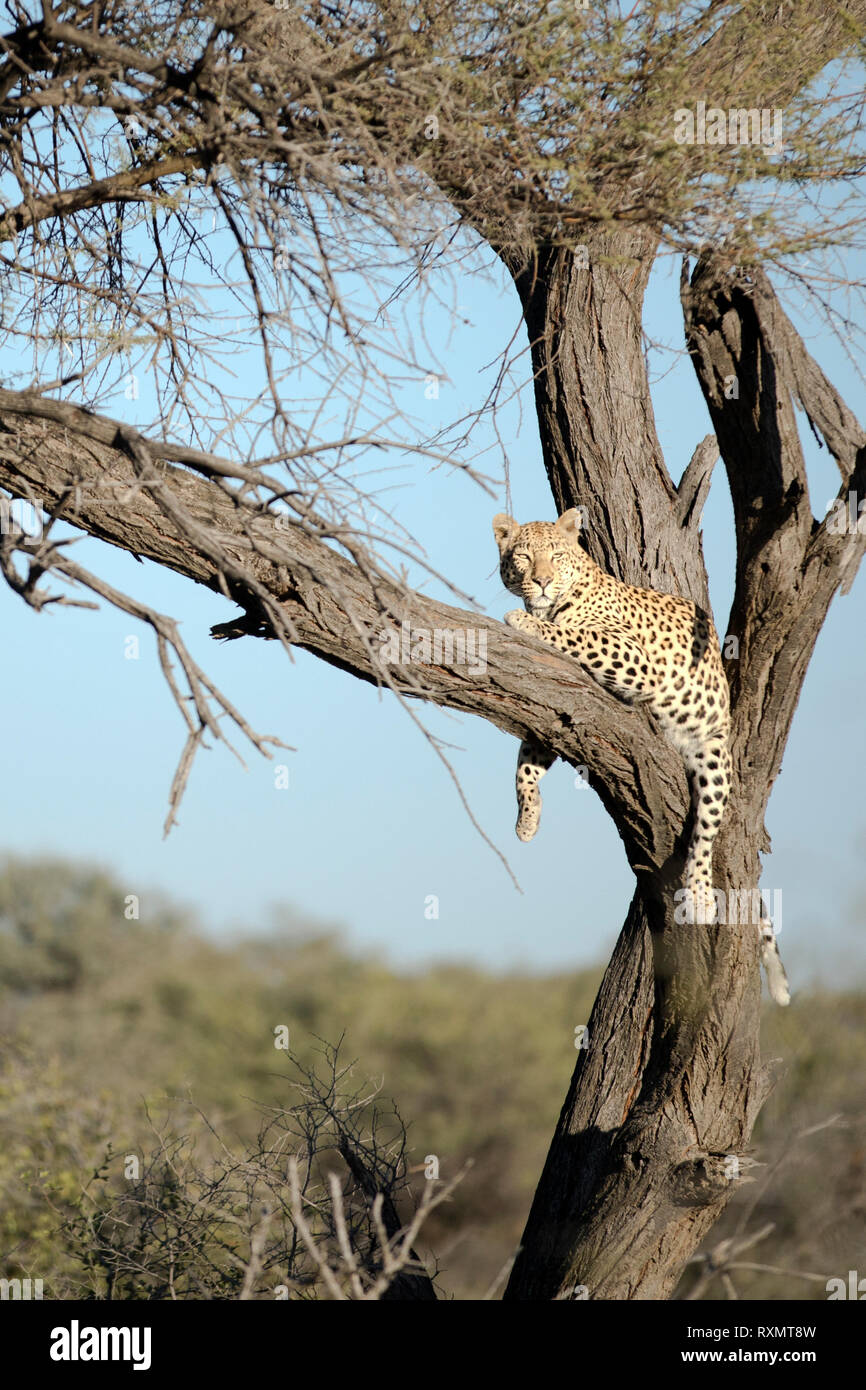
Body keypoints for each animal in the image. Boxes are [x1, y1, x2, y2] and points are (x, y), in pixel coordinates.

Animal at [493, 505, 790, 1006]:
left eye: (555, 555)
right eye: (523, 556)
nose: (542, 582)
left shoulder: (631, 656)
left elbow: (573, 635)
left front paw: (525, 621)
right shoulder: (557, 704)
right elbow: (526, 762)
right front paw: (526, 820)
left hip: (714, 756)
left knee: (705, 833)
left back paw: (700, 894)